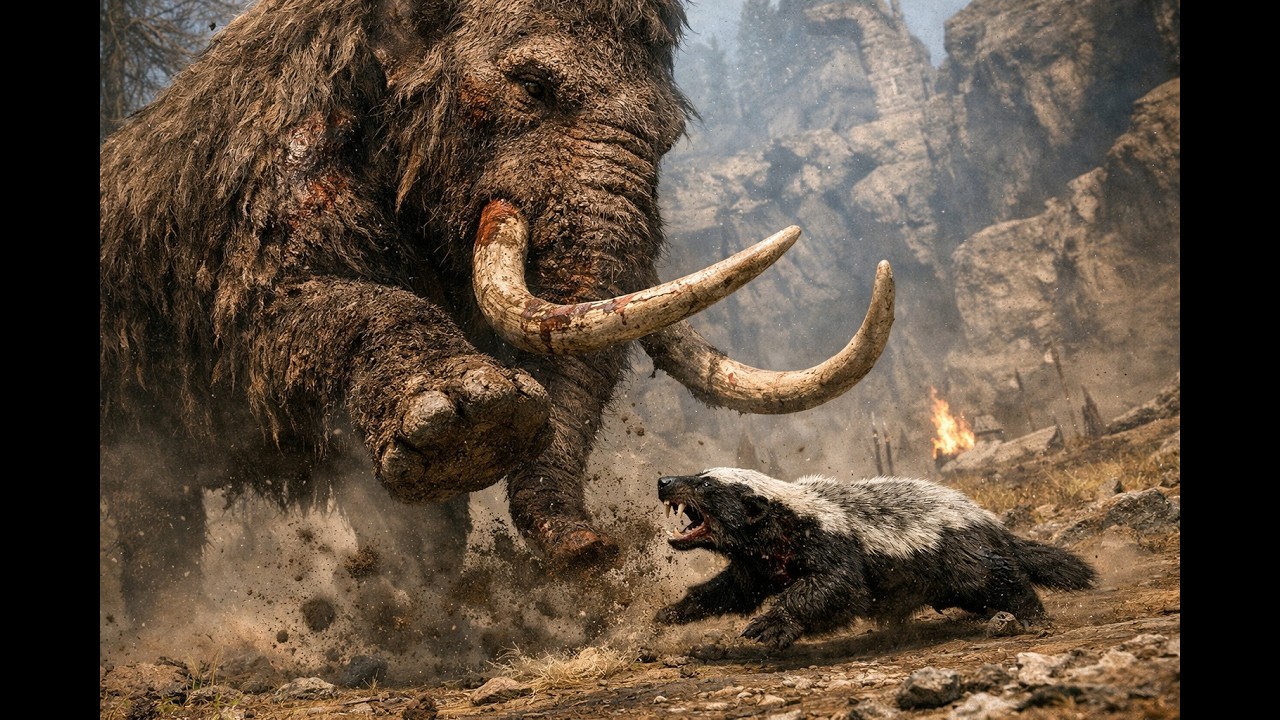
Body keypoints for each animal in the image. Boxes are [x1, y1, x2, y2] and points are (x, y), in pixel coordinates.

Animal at [99, 0, 894, 624]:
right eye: (534, 86)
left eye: (670, 135)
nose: (595, 548)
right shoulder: (261, 211)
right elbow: (287, 317)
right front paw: (476, 417)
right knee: (155, 519)